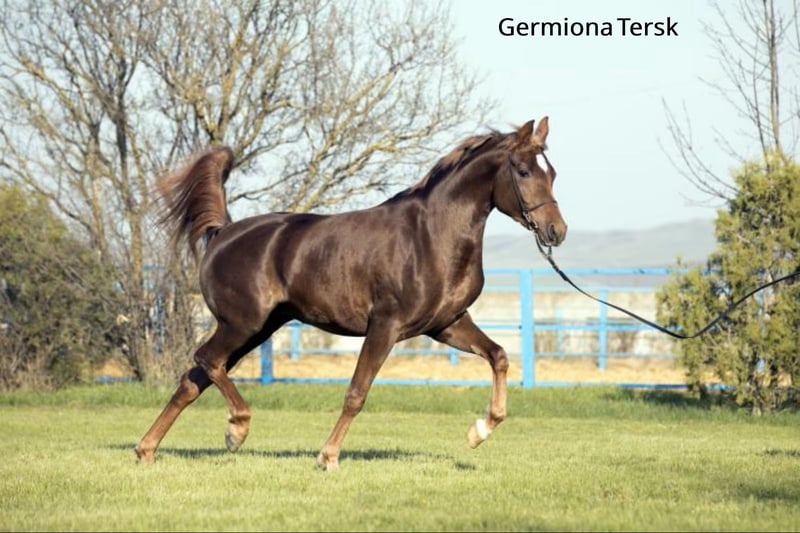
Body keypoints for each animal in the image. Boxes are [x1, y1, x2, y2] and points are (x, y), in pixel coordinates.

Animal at [135, 117, 567, 470]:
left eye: (553, 173)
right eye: (523, 170)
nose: (556, 232)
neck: (431, 236)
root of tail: (223, 232)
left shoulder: (447, 325)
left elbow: (499, 356)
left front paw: (480, 430)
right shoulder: (385, 326)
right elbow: (357, 392)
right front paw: (328, 457)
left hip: (256, 330)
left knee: (194, 379)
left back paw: (147, 449)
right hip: (242, 325)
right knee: (206, 360)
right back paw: (235, 430)